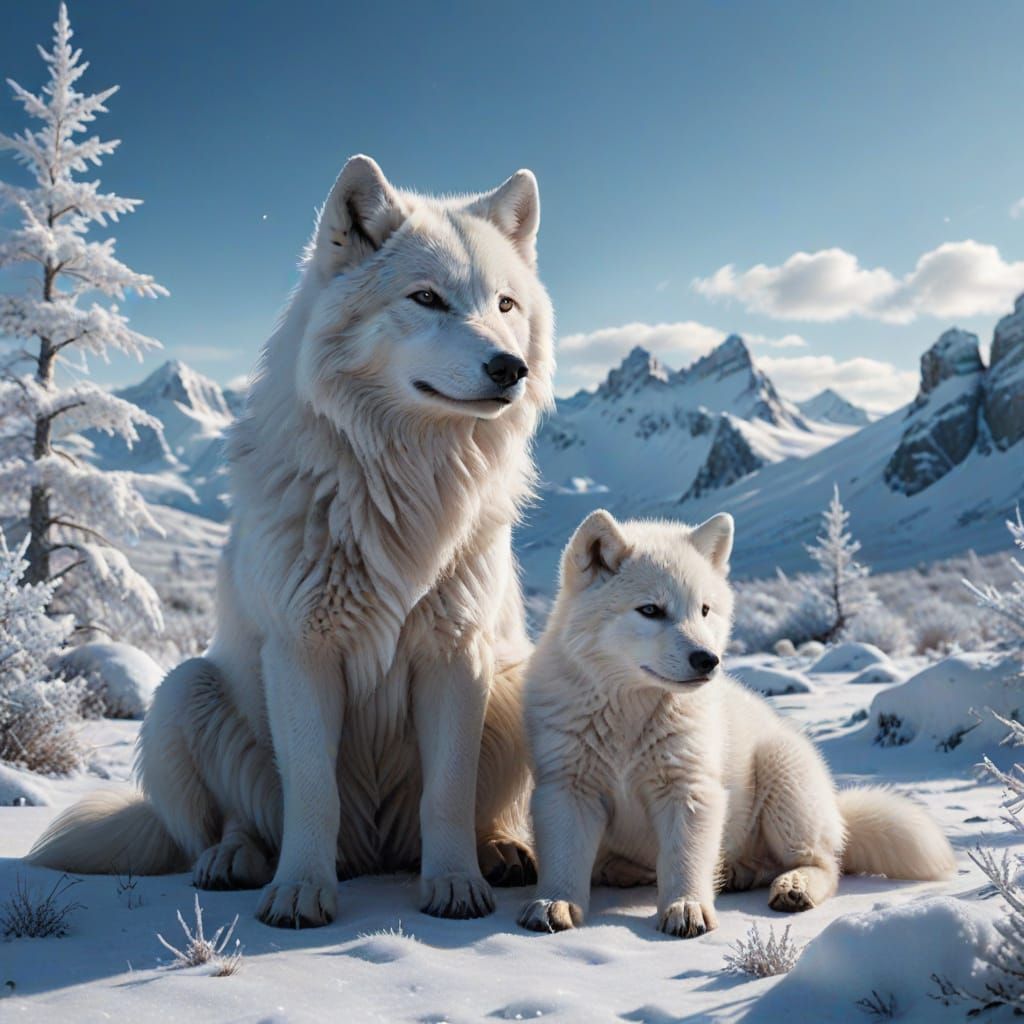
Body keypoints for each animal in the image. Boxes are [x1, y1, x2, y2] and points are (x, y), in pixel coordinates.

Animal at [29, 155, 555, 928]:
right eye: (427, 298)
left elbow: (449, 793)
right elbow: (311, 790)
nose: (507, 368)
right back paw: (235, 862)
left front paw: (456, 886)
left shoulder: (456, 655)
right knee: (235, 823)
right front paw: (301, 893)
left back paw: (499, 853)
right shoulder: (303, 652)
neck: (400, 484)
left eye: (506, 306)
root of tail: (375, 853)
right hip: (185, 690)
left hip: (516, 683)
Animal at [518, 510, 956, 937]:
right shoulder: (567, 787)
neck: (630, 713)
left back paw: (789, 886)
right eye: (650, 610)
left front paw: (686, 908)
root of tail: (836, 809)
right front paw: (554, 904)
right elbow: (565, 859)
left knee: (827, 863)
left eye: (704, 610)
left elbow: (683, 859)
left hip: (783, 781)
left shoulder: (691, 789)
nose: (707, 660)